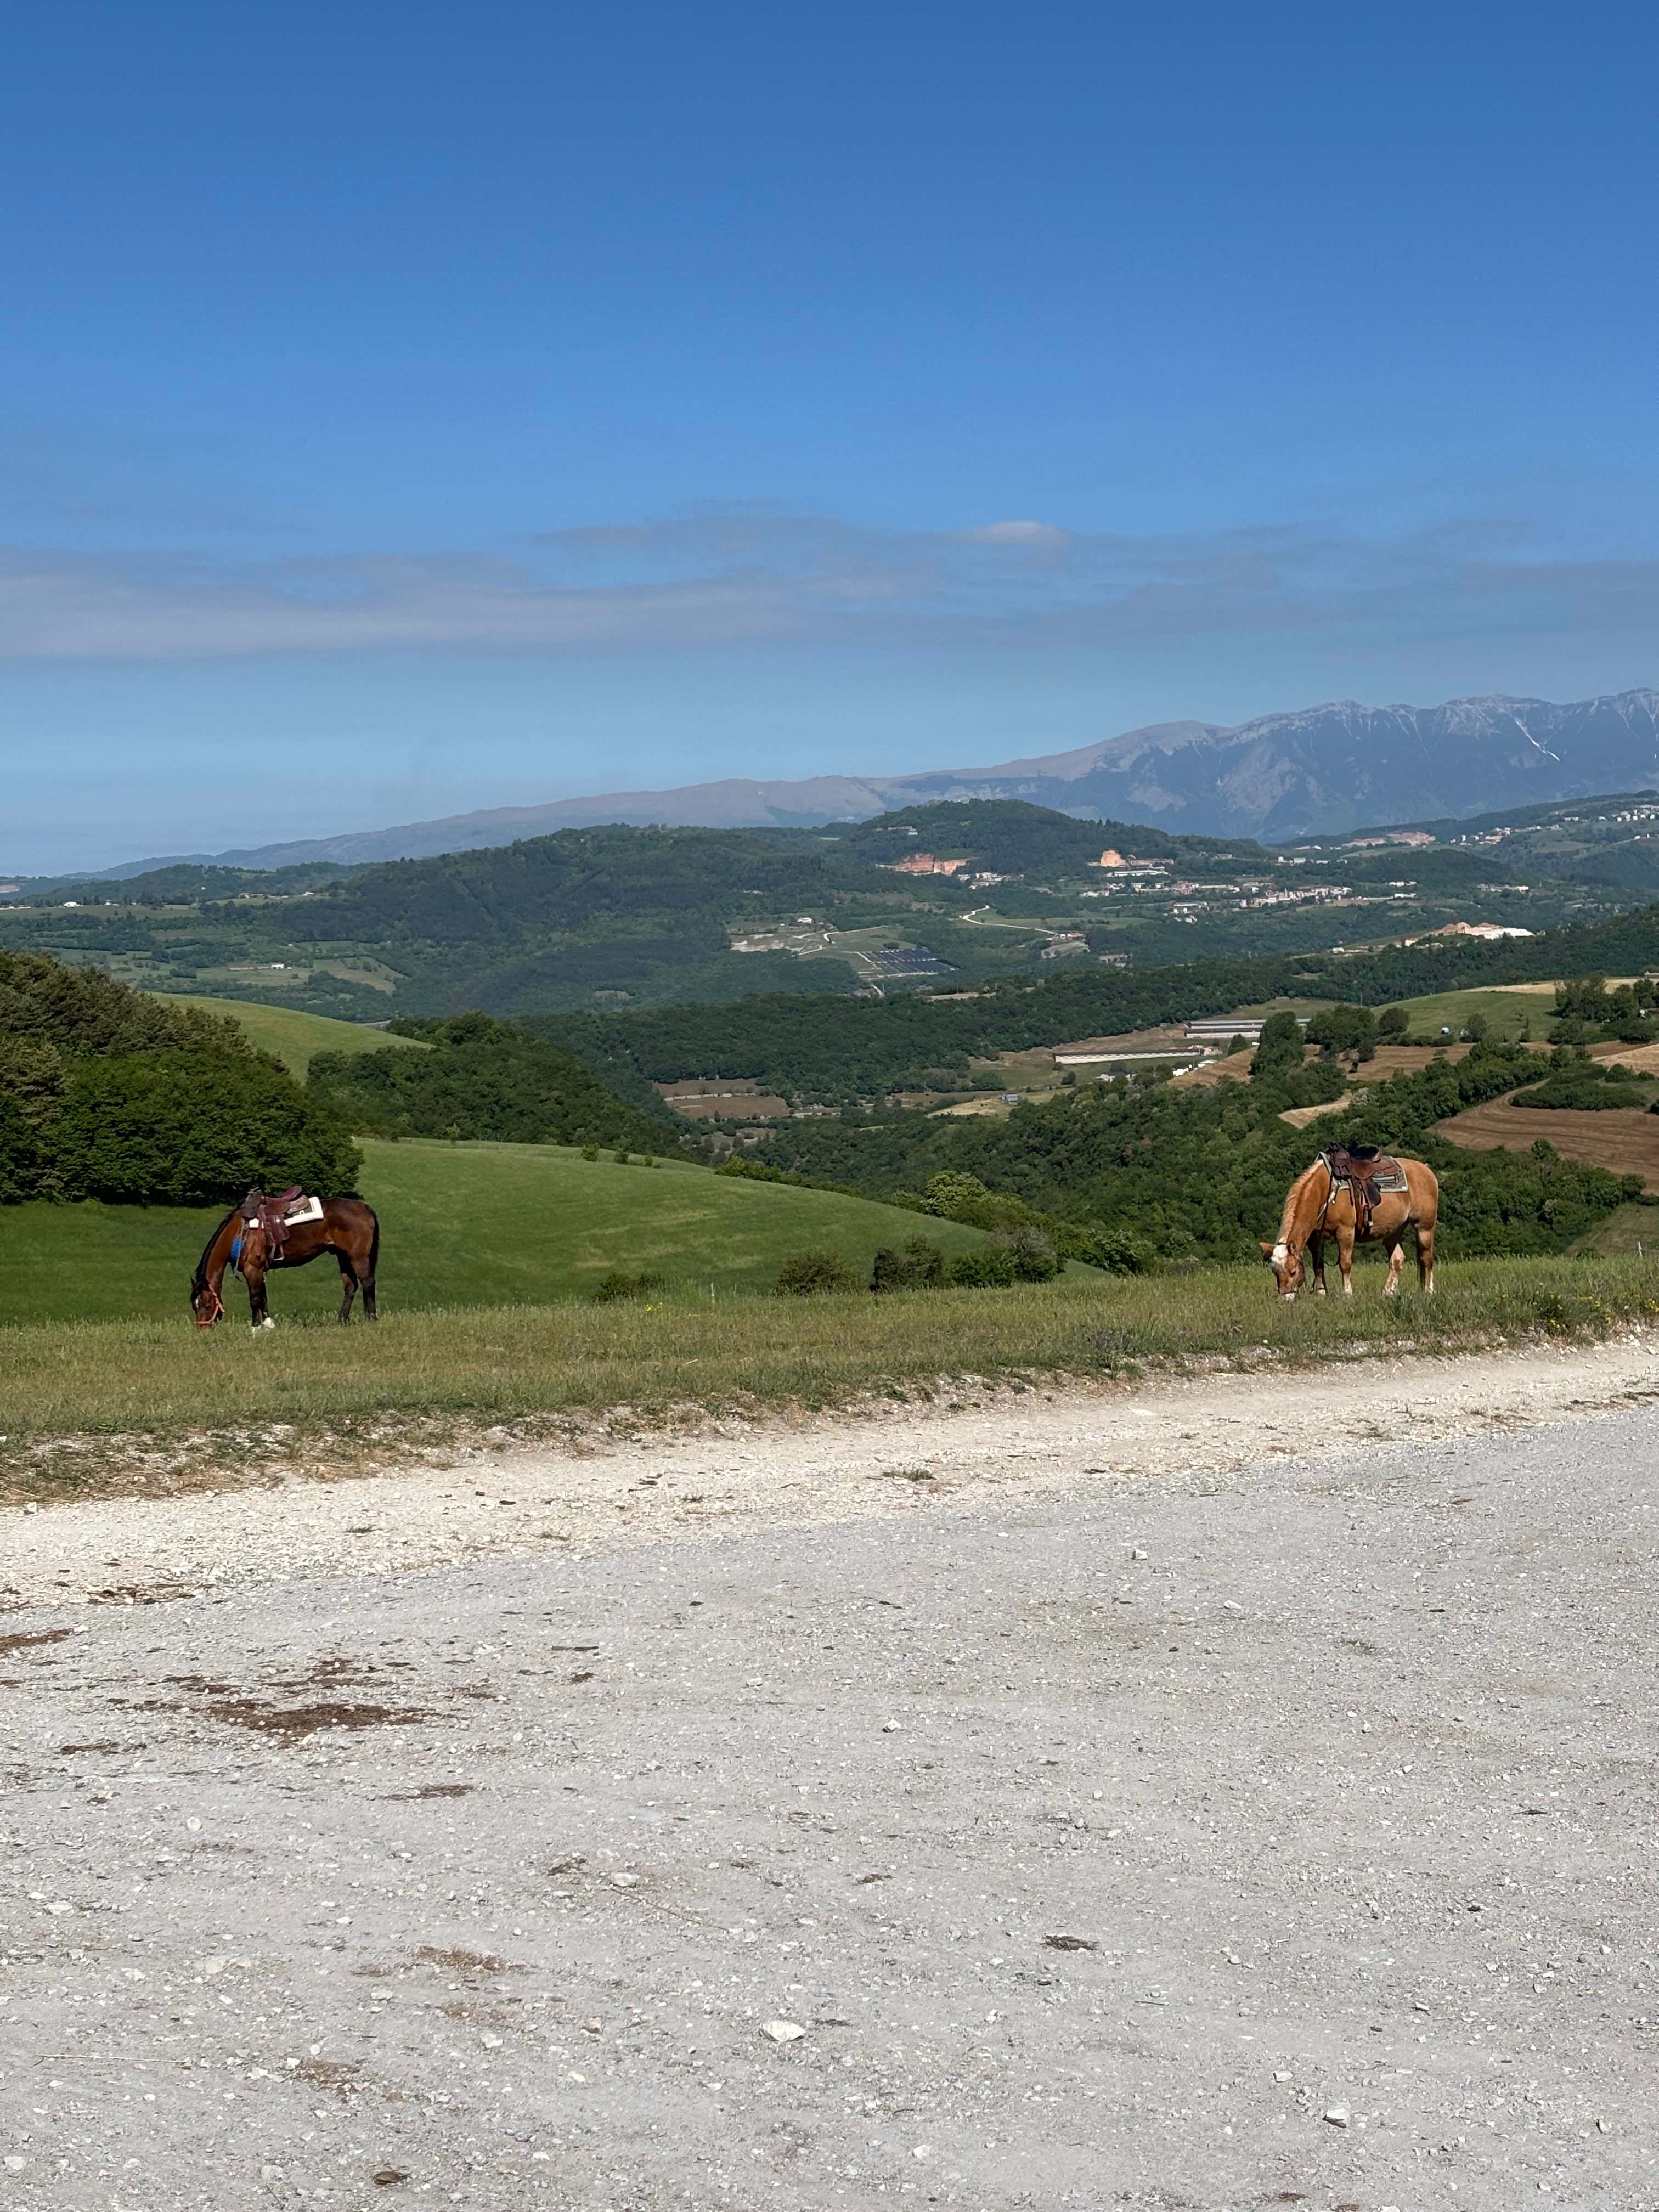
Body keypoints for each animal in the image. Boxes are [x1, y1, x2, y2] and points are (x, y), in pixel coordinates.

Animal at [191, 1195, 380, 1330]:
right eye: (195, 1306)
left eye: (207, 1305)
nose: (203, 1330)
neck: (240, 1232)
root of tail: (364, 1207)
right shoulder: (260, 1271)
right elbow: (264, 1298)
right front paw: (268, 1324)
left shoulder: (253, 1269)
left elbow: (255, 1299)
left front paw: (255, 1327)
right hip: (343, 1256)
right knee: (350, 1287)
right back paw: (341, 1320)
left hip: (358, 1257)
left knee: (368, 1282)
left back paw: (371, 1318)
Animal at [1260, 1152, 1438, 1300]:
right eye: (1275, 1272)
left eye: (1293, 1272)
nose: (1287, 1298)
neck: (1324, 1190)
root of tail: (1426, 1170)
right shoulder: (1315, 1238)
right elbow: (1318, 1265)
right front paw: (1321, 1294)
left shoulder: (1345, 1232)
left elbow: (1345, 1265)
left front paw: (1347, 1294)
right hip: (1393, 1231)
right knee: (1397, 1259)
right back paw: (1388, 1293)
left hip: (1424, 1227)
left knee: (1427, 1259)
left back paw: (1428, 1291)